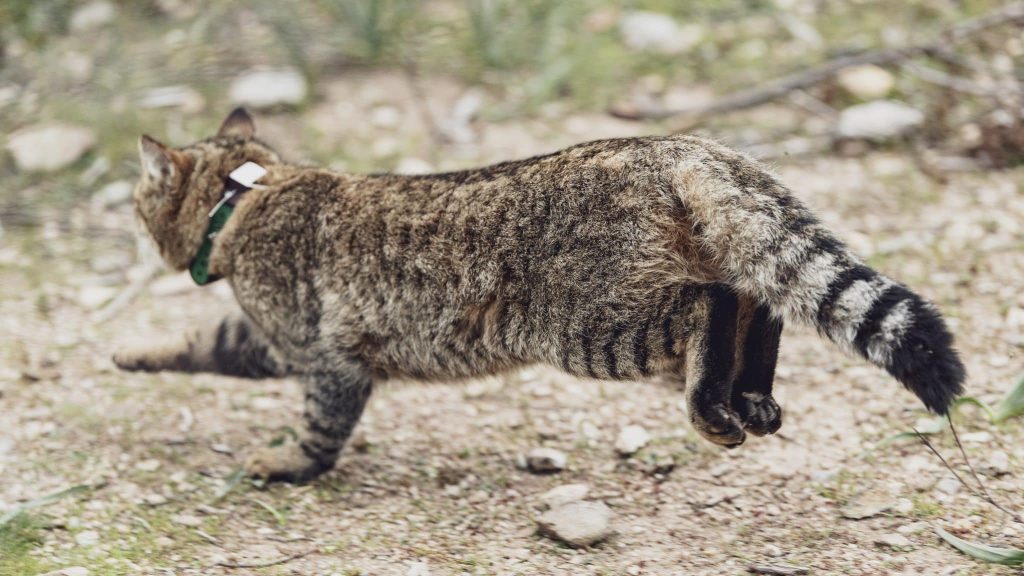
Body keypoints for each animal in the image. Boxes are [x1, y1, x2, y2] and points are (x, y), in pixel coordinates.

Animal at [116, 107, 962, 479]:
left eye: (138, 197)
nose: (130, 208)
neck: (249, 194)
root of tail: (682, 146)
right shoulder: (273, 343)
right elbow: (204, 343)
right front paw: (134, 354)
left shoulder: (321, 355)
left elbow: (320, 429)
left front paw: (289, 465)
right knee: (760, 301)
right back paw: (749, 399)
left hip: (587, 328)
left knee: (713, 305)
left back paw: (713, 408)